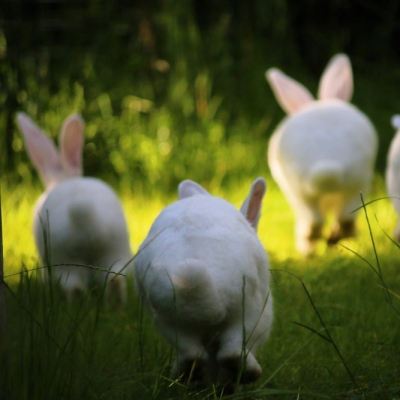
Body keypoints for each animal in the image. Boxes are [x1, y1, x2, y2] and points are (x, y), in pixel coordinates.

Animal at [15, 111, 133, 302]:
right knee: (114, 279)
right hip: (113, 253)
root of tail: (84, 217)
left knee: (75, 287)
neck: (63, 178)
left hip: (63, 262)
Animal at [266, 54, 378, 253]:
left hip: (301, 193)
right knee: (342, 220)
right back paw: (332, 242)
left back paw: (311, 249)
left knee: (316, 223)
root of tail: (327, 168)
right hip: (356, 186)